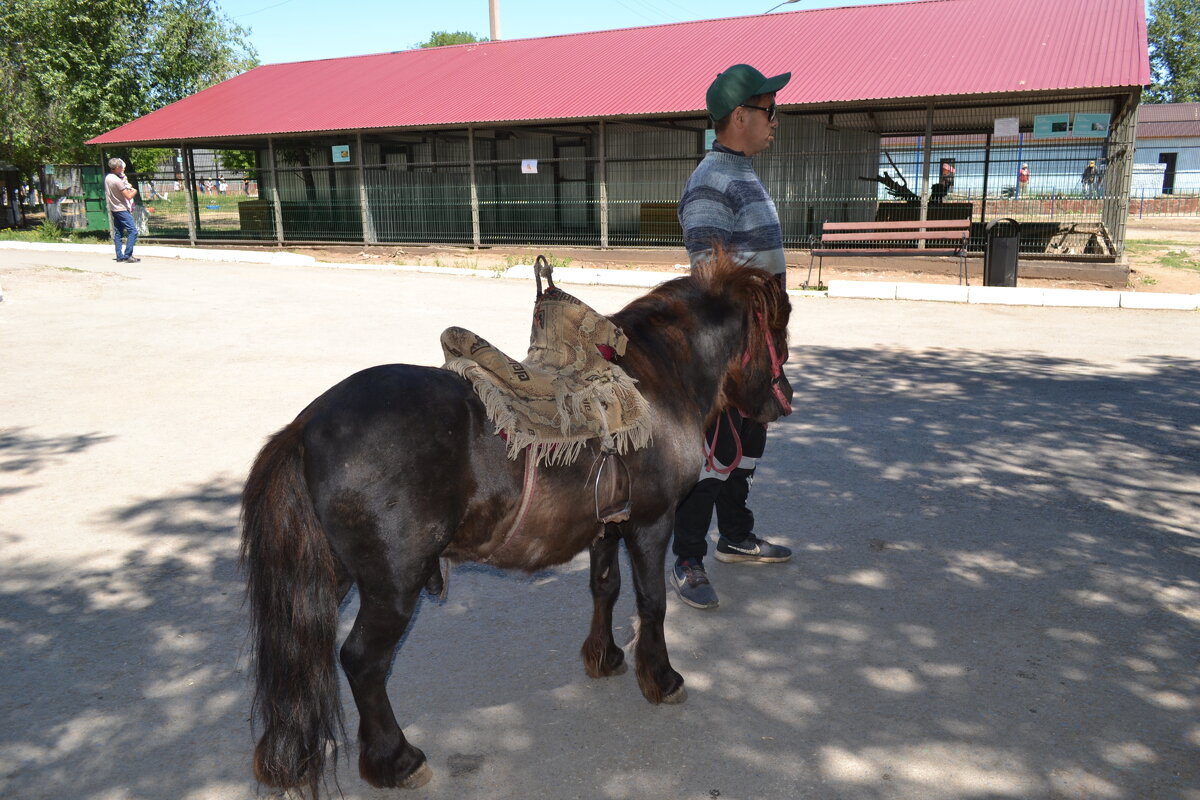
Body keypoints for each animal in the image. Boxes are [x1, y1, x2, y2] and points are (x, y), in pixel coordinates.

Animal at [238, 255, 792, 796]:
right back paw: (395, 760)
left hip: (327, 575)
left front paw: (604, 656)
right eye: (780, 328)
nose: (780, 401)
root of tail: (306, 425)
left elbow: (605, 587)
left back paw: (291, 756)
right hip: (394, 583)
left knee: (297, 648)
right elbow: (651, 601)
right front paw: (662, 678)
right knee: (361, 660)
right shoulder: (652, 523)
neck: (656, 385)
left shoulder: (606, 528)